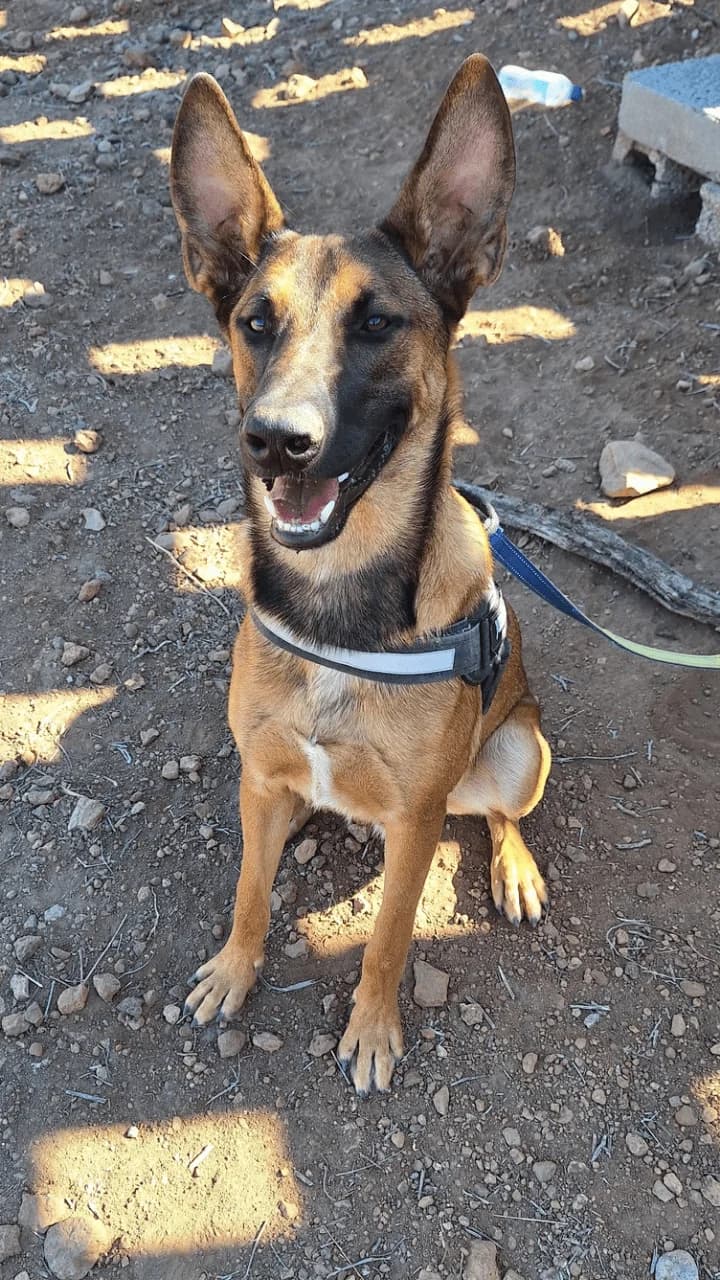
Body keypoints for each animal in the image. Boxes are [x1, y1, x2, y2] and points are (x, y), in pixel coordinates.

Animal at [169, 54, 551, 1094]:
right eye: (255, 322)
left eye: (378, 322)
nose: (276, 442)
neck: (337, 603)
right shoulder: (259, 776)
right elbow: (249, 892)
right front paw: (233, 967)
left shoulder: (417, 820)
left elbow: (385, 939)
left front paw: (374, 1030)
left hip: (520, 752)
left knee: (498, 817)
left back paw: (514, 868)